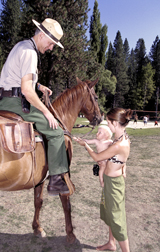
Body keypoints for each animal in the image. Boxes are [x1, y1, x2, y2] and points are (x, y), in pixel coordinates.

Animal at [0, 78, 101, 243]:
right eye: (96, 97)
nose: (99, 118)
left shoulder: (40, 178)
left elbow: (38, 201)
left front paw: (37, 228)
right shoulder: (64, 174)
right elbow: (66, 203)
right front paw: (70, 234)